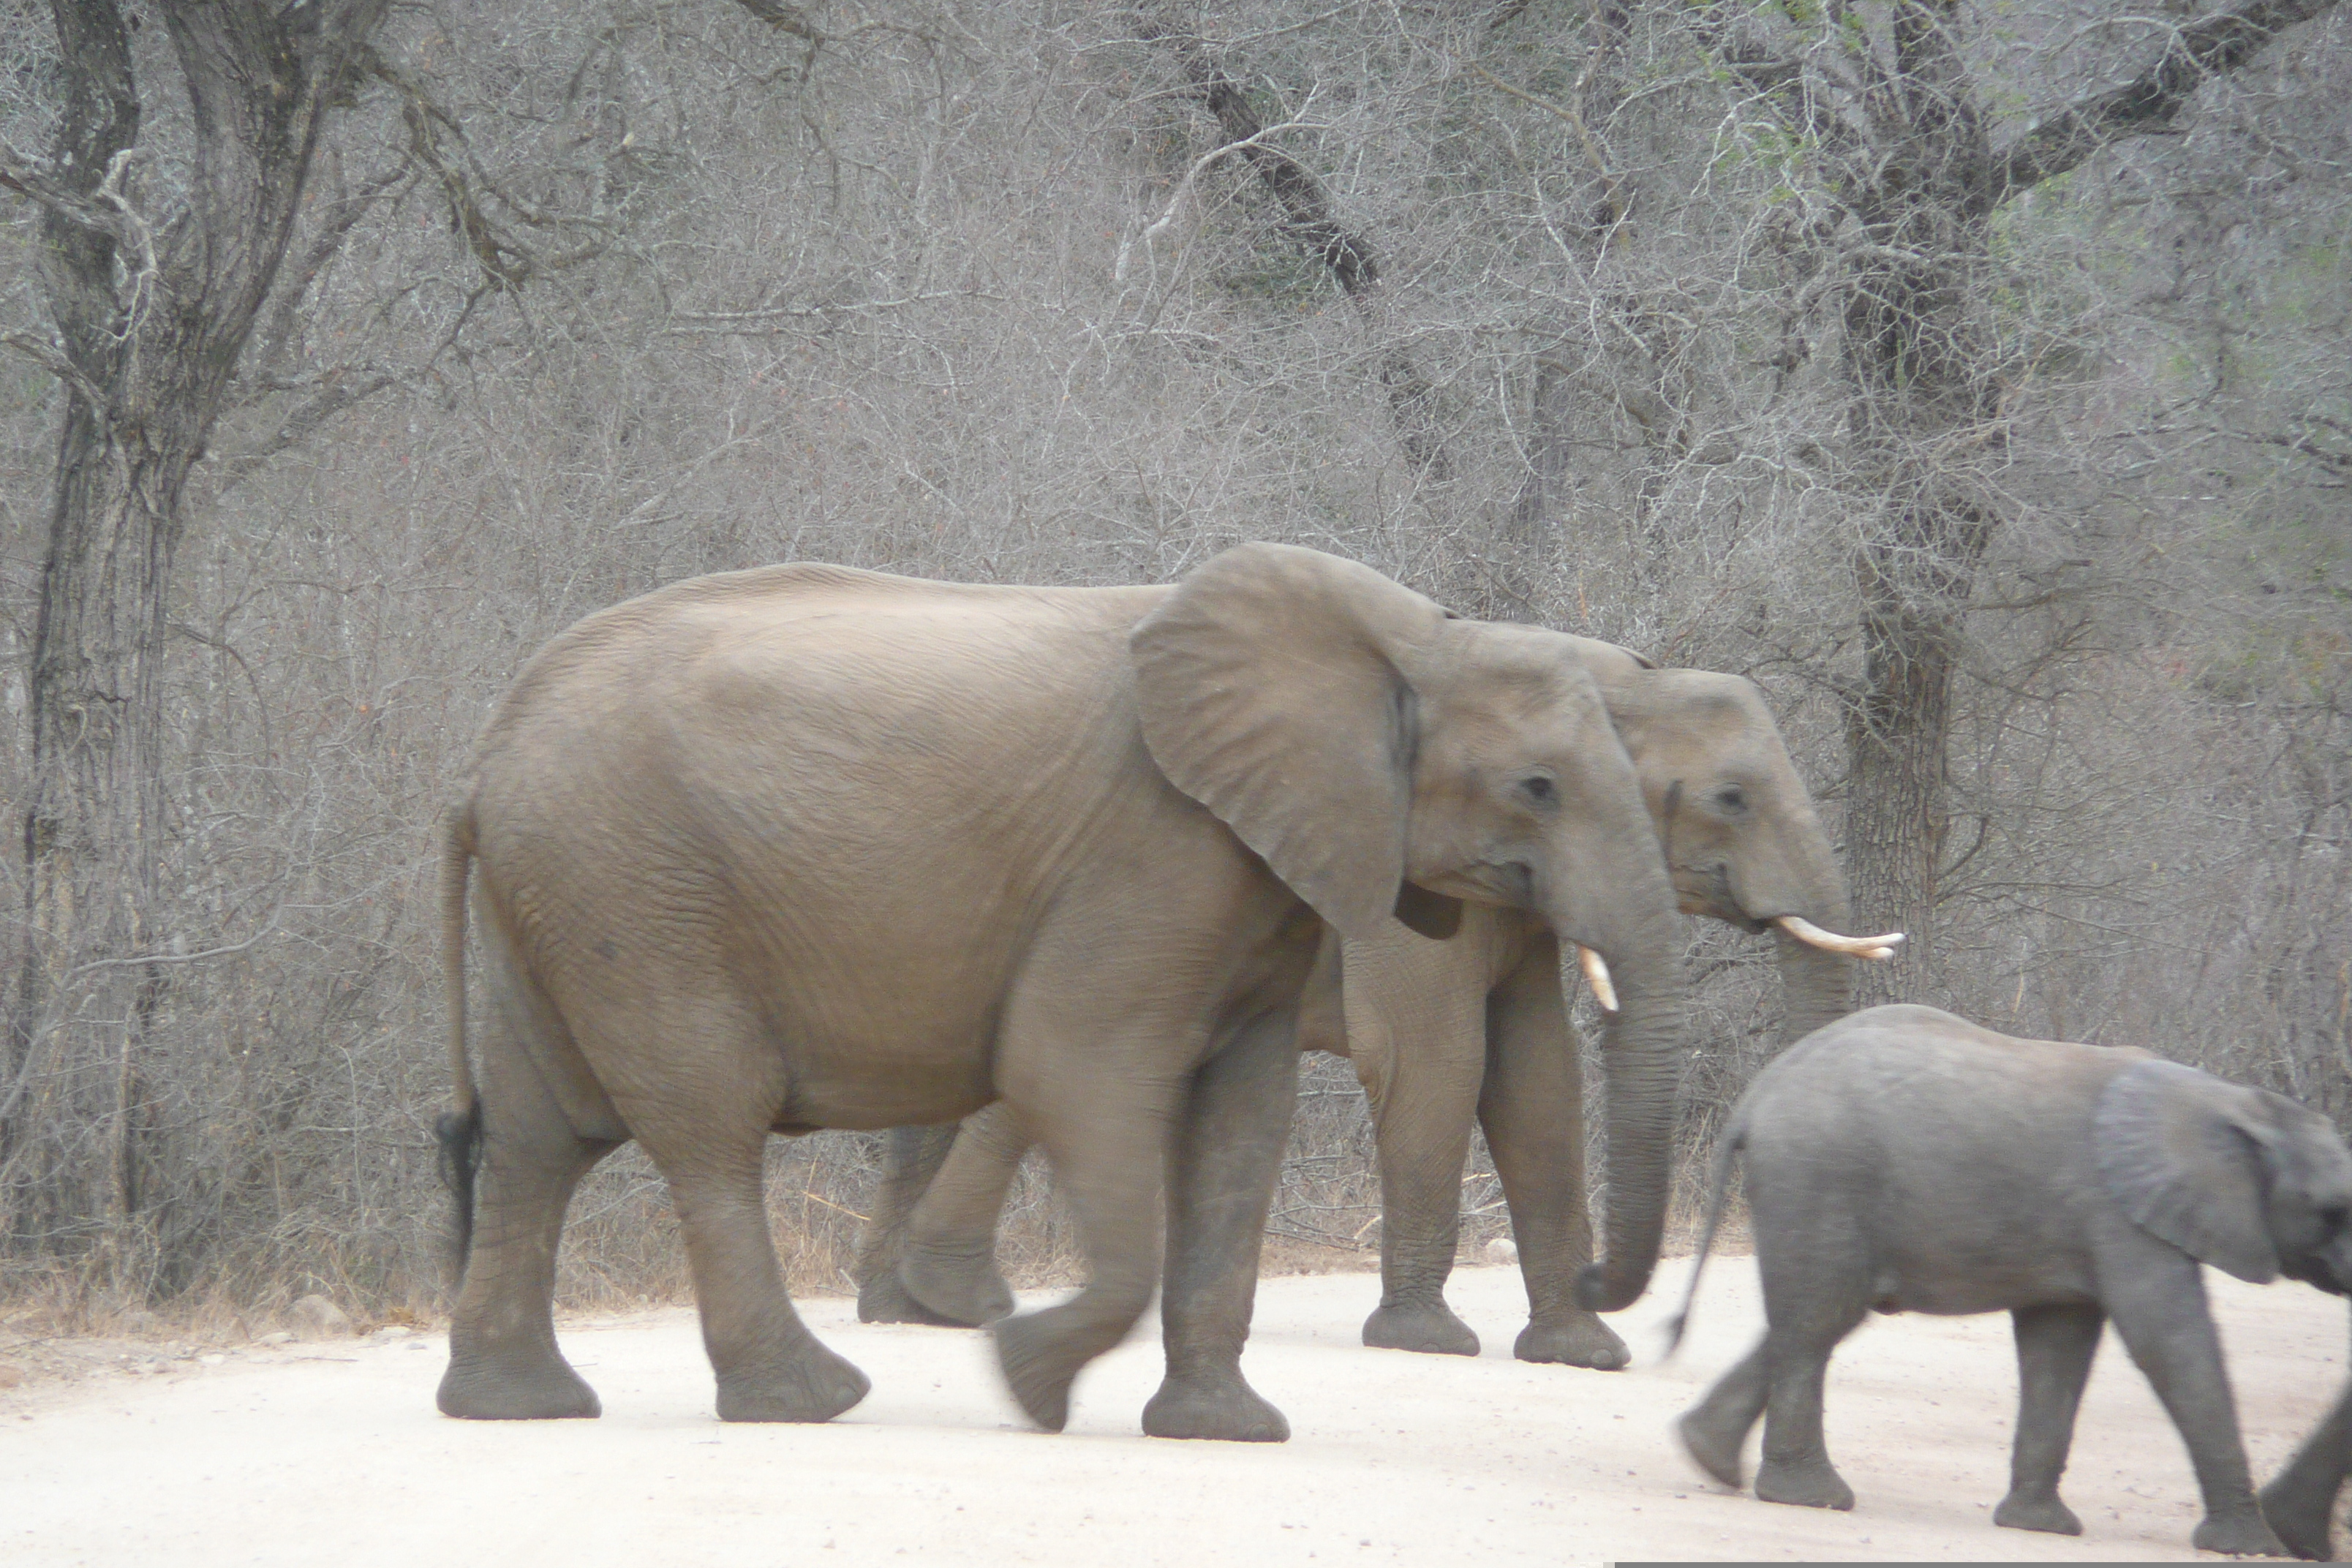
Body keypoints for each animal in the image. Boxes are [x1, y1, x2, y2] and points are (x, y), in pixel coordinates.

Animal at [437, 545, 1693, 1439]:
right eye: (1538, 787)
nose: (1612, 1285)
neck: (1411, 634)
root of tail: (483, 758)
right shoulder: (1157, 850)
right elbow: (1074, 1068)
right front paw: (1027, 1378)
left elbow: (1244, 1116)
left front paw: (1225, 1431)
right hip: (636, 891)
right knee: (704, 1124)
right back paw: (813, 1401)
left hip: (561, 891)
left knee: (541, 1135)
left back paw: (520, 1407)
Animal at [851, 630, 1891, 1363]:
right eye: (1733, 799)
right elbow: (1440, 1062)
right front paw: (1430, 1341)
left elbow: (1537, 1080)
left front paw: (1583, 1353)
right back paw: (953, 1301)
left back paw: (903, 1310)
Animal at [1674, 1006, 2352, 1561]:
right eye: (2332, 1211)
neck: (2231, 1101)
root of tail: (1756, 1097)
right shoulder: (2123, 1215)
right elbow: (2170, 1343)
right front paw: (2255, 1547)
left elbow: (2059, 1347)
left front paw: (2040, 1527)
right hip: (1819, 1174)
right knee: (1821, 1319)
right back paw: (1811, 1498)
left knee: (1820, 1313)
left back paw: (1709, 1456)